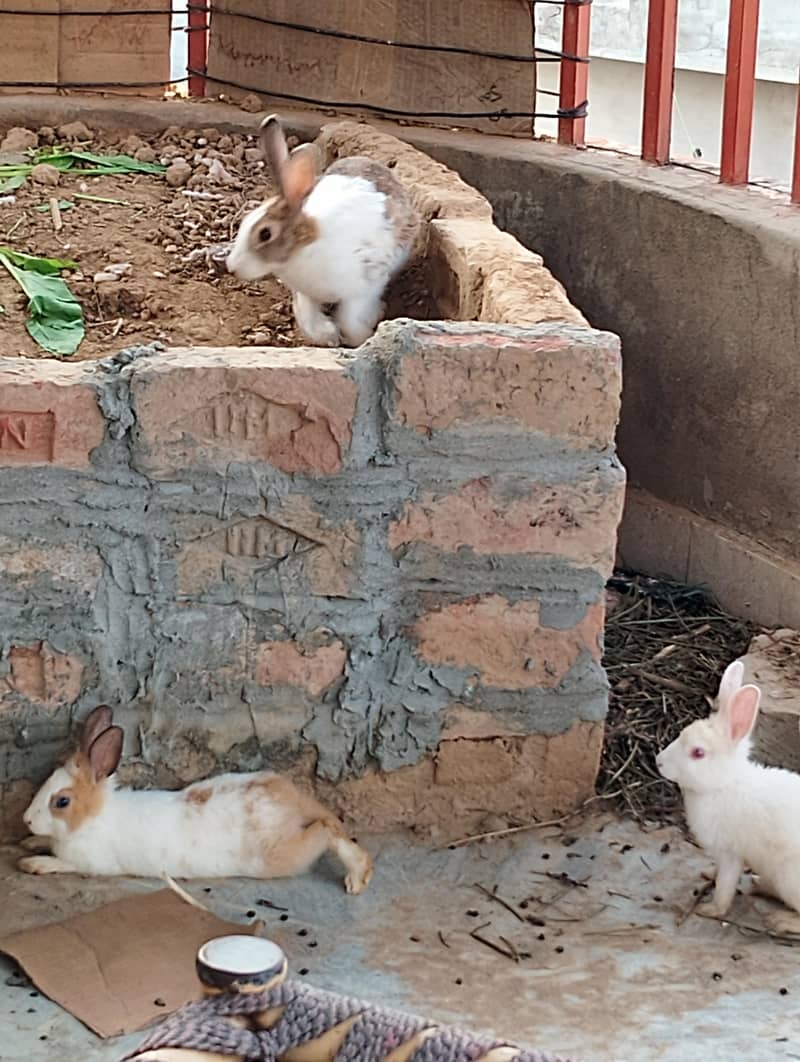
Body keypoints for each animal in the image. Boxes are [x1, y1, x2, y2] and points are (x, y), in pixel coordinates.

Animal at [17, 705, 373, 895]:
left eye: (62, 802)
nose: (26, 820)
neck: (94, 817)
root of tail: (289, 797)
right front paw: (28, 843)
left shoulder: (91, 863)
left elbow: (62, 864)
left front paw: (33, 863)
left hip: (283, 855)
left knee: (327, 830)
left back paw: (358, 876)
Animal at [225, 114, 419, 349]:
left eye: (265, 234)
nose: (232, 268)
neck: (303, 247)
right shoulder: (305, 294)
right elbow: (309, 320)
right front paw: (329, 336)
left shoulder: (364, 287)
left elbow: (349, 320)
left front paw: (363, 335)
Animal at [656, 660, 800, 935]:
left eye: (698, 753)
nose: (659, 762)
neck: (723, 784)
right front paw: (707, 876)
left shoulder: (729, 853)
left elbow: (725, 886)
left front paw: (710, 910)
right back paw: (758, 884)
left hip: (789, 878)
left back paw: (777, 920)